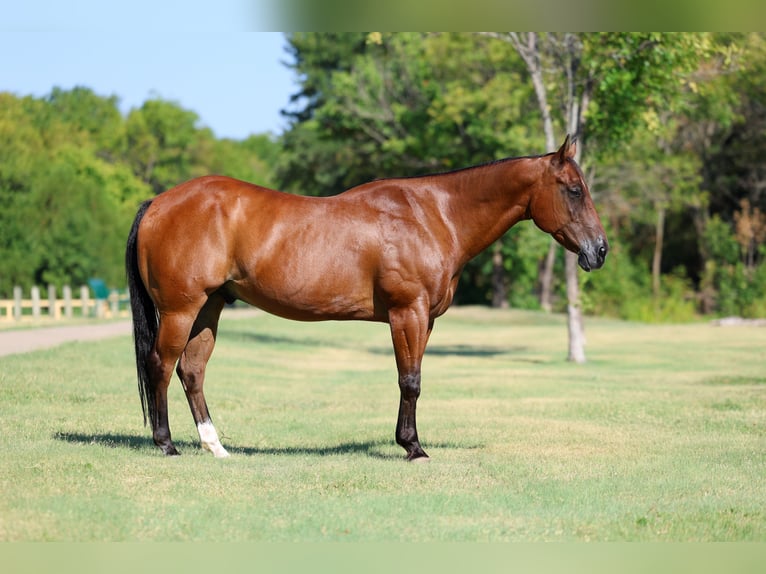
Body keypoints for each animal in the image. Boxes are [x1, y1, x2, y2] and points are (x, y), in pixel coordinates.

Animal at [125, 135, 608, 461]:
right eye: (574, 190)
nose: (600, 250)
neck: (433, 216)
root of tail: (157, 202)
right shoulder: (407, 313)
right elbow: (409, 380)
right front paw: (413, 448)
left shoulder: (426, 319)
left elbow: (412, 379)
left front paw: (409, 442)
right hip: (181, 310)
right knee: (161, 365)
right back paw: (166, 445)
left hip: (208, 307)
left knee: (192, 371)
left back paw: (216, 446)